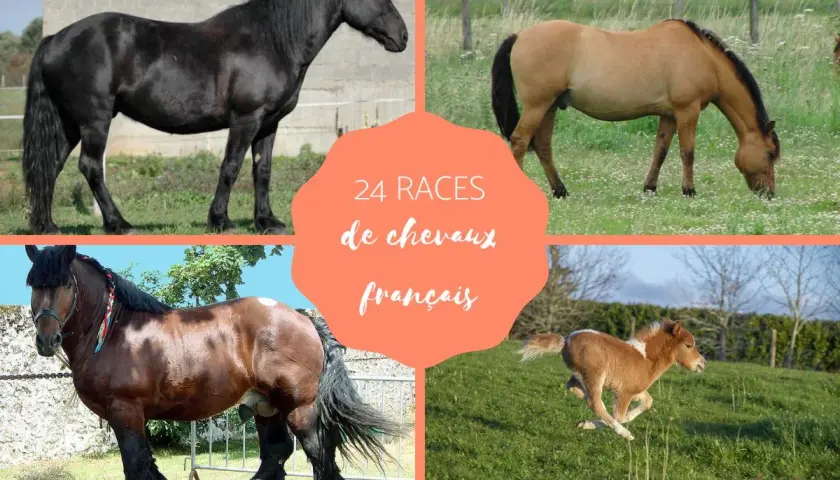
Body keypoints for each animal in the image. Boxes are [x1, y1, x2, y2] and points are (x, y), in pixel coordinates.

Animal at [22, 0, 409, 235]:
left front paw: (267, 221)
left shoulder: (269, 124)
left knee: (50, 167)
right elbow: (231, 168)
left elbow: (262, 171)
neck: (270, 42)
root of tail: (55, 38)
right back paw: (119, 224)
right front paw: (220, 220)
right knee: (90, 167)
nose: (403, 36)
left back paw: (48, 226)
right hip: (94, 121)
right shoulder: (246, 120)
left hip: (69, 124)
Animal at [24, 245, 406, 480]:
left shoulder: (125, 411)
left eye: (65, 284)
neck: (117, 329)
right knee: (276, 455)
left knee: (319, 457)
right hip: (267, 407)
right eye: (33, 285)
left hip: (301, 409)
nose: (46, 340)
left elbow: (137, 467)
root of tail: (304, 319)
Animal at [491, 19, 780, 199]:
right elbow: (687, 152)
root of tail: (519, 36)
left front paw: (650, 187)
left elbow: (660, 151)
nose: (769, 193)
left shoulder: (669, 115)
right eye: (770, 153)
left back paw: (560, 190)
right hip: (537, 105)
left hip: (550, 106)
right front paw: (689, 190)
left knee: (542, 146)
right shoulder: (687, 110)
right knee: (519, 141)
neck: (702, 56)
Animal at [517, 320, 706, 441]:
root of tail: (566, 340)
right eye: (689, 345)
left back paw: (582, 396)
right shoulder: (625, 393)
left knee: (572, 386)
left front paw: (585, 424)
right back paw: (624, 433)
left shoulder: (634, 390)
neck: (646, 359)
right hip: (595, 375)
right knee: (595, 403)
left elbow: (647, 402)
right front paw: (589, 424)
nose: (703, 363)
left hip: (583, 375)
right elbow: (619, 416)